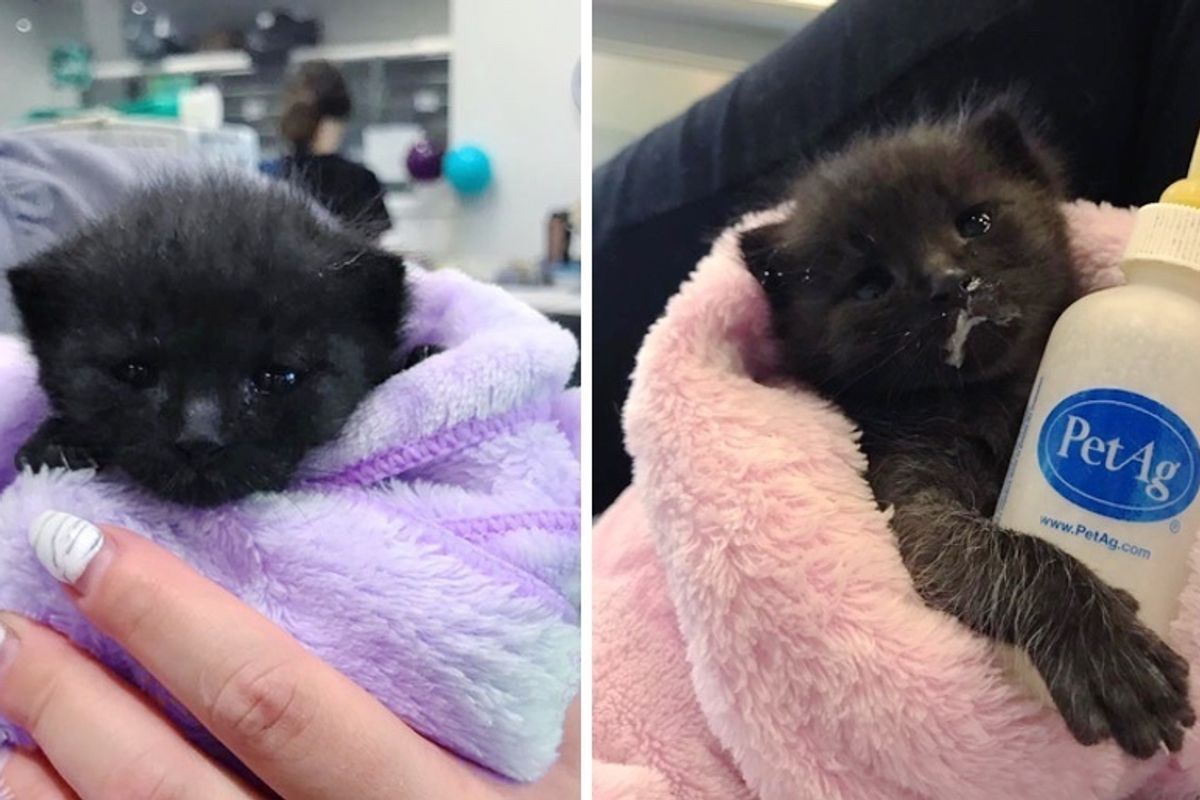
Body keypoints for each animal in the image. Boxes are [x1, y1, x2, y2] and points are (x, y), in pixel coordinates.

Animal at [744, 103, 1195, 762]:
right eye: (870, 284)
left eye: (975, 221)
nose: (949, 280)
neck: (991, 396)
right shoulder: (908, 497)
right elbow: (1006, 549)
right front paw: (1106, 650)